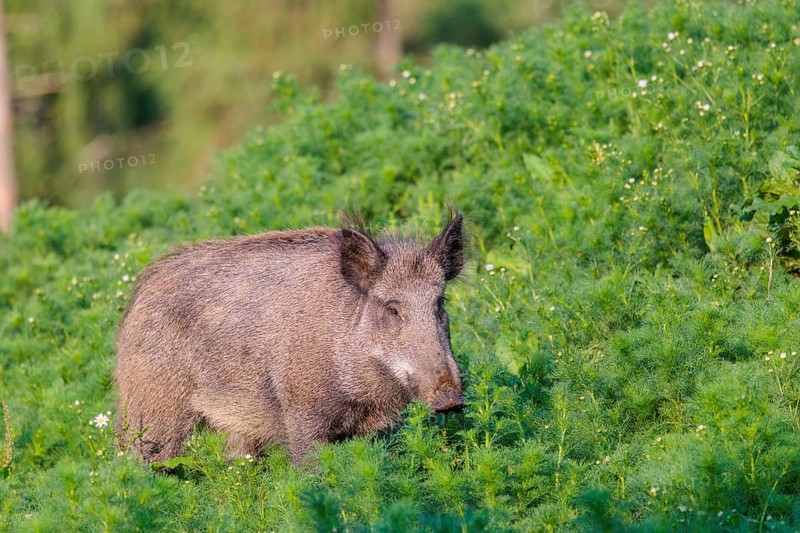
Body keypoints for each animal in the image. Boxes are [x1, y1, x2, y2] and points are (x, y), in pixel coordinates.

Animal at [114, 213, 465, 465]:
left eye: (440, 302)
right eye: (392, 309)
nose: (452, 399)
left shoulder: (374, 428)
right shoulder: (302, 413)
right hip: (154, 411)